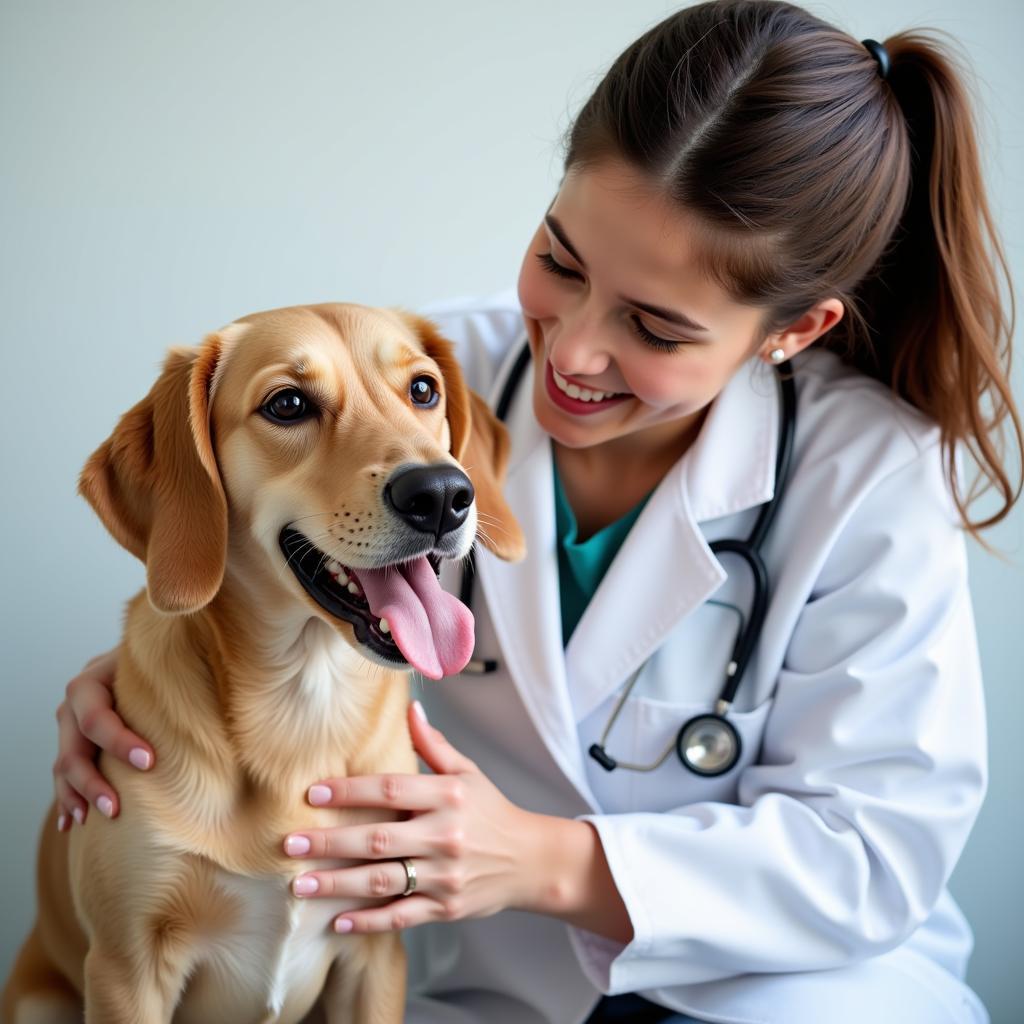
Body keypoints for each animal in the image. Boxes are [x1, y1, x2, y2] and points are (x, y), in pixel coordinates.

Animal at [2, 303, 528, 1024]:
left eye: (423, 390)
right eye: (288, 404)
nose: (444, 493)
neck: (302, 706)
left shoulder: (375, 954)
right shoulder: (126, 972)